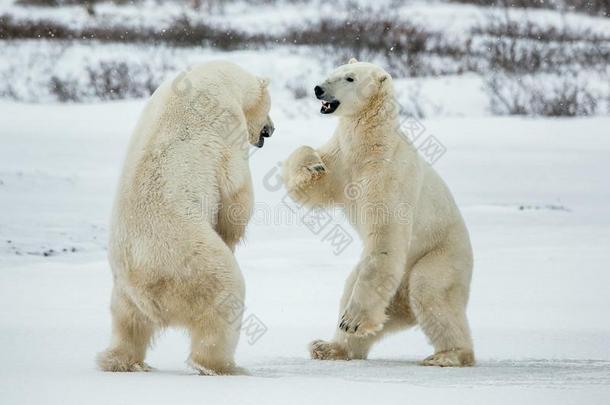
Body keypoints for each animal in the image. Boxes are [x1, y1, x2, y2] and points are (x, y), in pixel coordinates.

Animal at [97, 60, 274, 376]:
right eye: (269, 107)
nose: (271, 129)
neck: (220, 77)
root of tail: (145, 287)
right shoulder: (226, 123)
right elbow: (236, 191)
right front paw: (231, 235)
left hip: (123, 289)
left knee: (127, 323)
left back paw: (121, 361)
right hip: (192, 263)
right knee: (225, 297)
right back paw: (224, 366)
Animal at [282, 59, 472, 366]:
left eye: (349, 78)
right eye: (334, 71)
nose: (318, 88)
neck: (370, 144)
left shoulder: (387, 175)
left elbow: (386, 234)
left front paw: (353, 321)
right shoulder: (343, 160)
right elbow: (314, 184)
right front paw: (312, 166)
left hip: (441, 255)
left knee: (431, 291)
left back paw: (447, 355)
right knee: (352, 288)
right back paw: (329, 346)